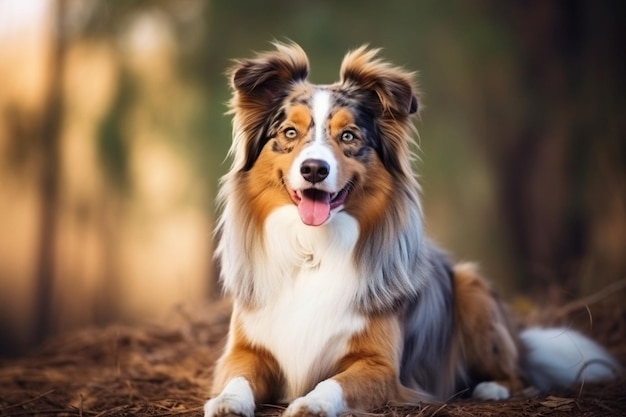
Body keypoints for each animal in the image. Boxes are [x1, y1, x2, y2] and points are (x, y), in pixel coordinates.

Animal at [202, 42, 616, 416]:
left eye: (348, 136)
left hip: (472, 288)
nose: (314, 169)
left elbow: (334, 383)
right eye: (289, 133)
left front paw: (312, 403)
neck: (313, 250)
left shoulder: (380, 365)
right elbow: (235, 376)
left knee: (519, 375)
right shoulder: (246, 348)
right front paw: (225, 401)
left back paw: (490, 388)